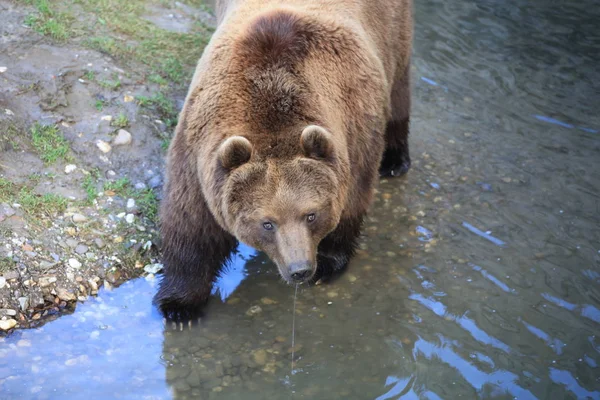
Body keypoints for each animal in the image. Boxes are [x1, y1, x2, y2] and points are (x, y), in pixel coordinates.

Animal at [154, 0, 412, 320]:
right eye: (267, 223)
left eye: (311, 214)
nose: (299, 269)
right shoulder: (198, 150)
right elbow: (191, 223)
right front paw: (179, 306)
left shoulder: (356, 131)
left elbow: (352, 201)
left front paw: (328, 262)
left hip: (391, 32)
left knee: (399, 88)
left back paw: (395, 160)